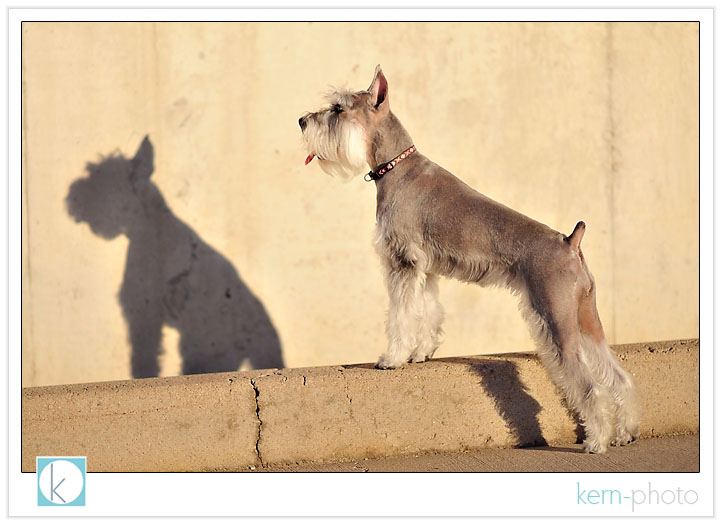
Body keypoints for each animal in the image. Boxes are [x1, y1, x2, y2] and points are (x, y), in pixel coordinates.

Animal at [296, 64, 636, 450]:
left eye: (338, 108)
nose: (302, 121)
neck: (395, 166)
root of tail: (570, 243)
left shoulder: (401, 262)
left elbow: (401, 315)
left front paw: (392, 359)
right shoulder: (425, 270)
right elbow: (427, 311)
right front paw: (421, 353)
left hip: (557, 321)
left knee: (590, 387)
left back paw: (596, 440)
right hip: (586, 319)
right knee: (617, 376)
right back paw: (624, 432)